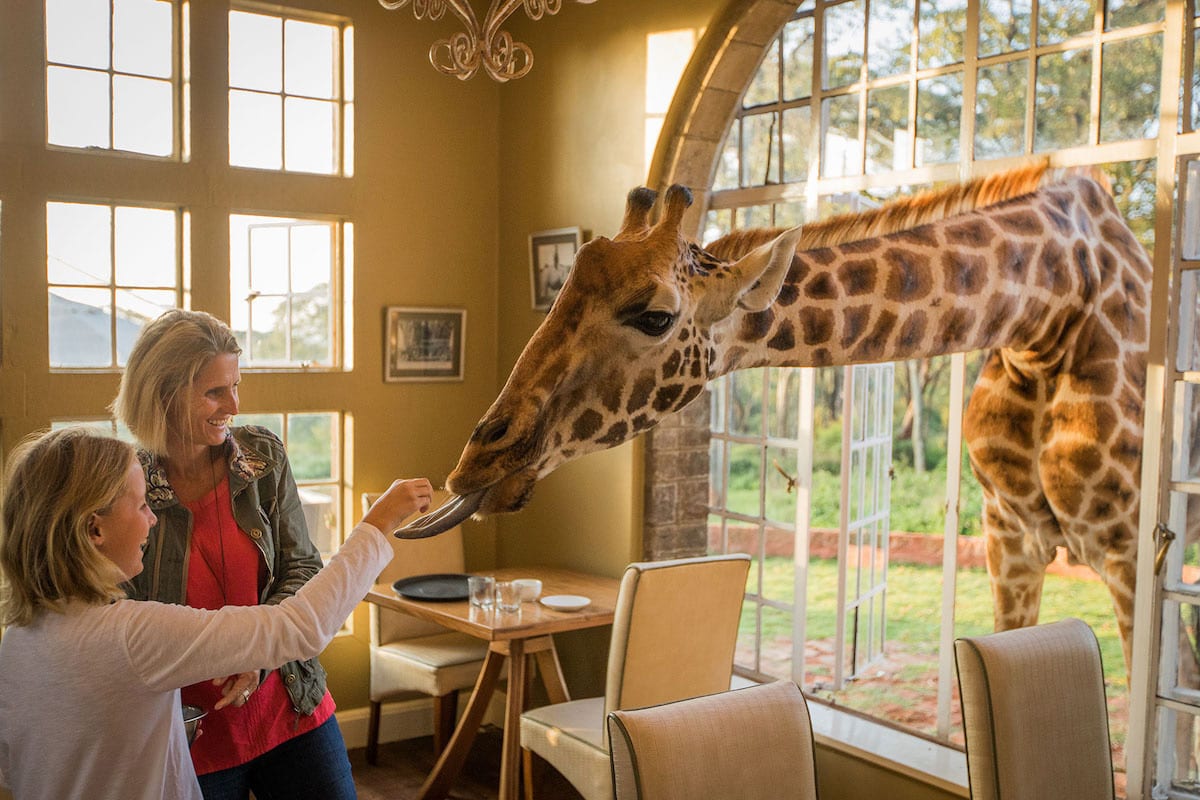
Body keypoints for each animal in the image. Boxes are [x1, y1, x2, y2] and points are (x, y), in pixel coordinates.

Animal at [403, 163, 1152, 668]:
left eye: (655, 316)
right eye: (558, 291)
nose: (477, 461)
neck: (1049, 307)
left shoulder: (1128, 550)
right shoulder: (1010, 538)